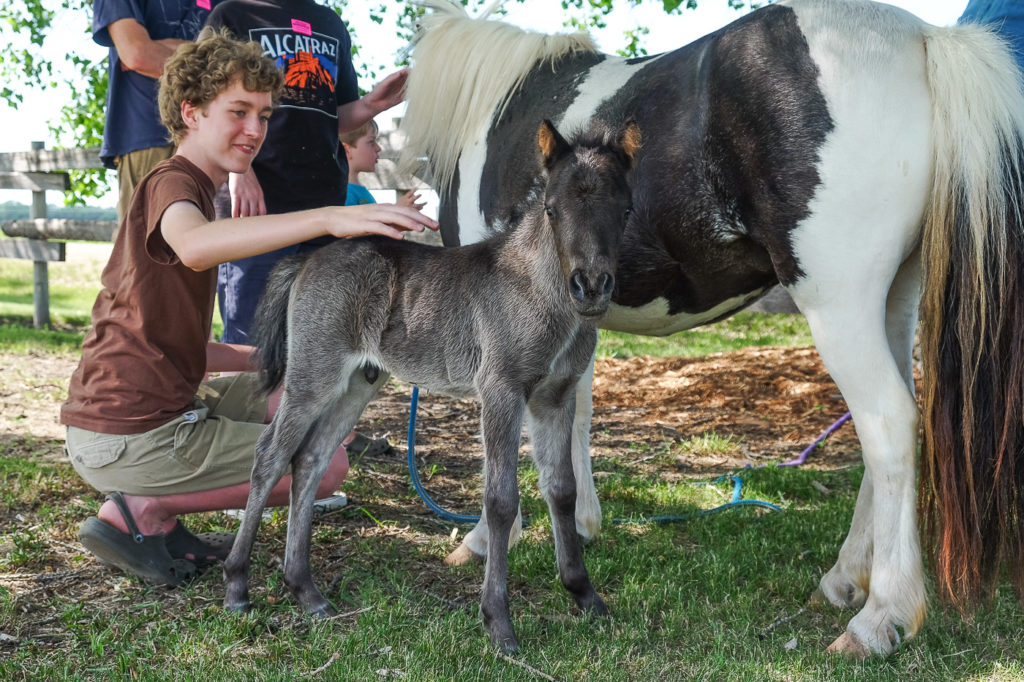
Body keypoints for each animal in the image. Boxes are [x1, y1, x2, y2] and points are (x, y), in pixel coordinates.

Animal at [224, 119, 638, 651]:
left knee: (311, 458)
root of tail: (310, 257)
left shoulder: (555, 397)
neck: (540, 292)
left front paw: (585, 595)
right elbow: (501, 500)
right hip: (314, 374)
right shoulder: (502, 391)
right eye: (552, 209)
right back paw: (238, 585)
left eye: (625, 210)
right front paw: (498, 623)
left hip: (358, 383)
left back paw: (306, 592)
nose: (590, 287)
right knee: (271, 455)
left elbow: (562, 489)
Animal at [397, 0, 1024, 659]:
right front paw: (582, 527)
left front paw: (487, 541)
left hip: (839, 302)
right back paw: (844, 579)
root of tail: (923, 38)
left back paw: (881, 618)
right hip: (895, 298)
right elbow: (574, 418)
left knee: (889, 426)